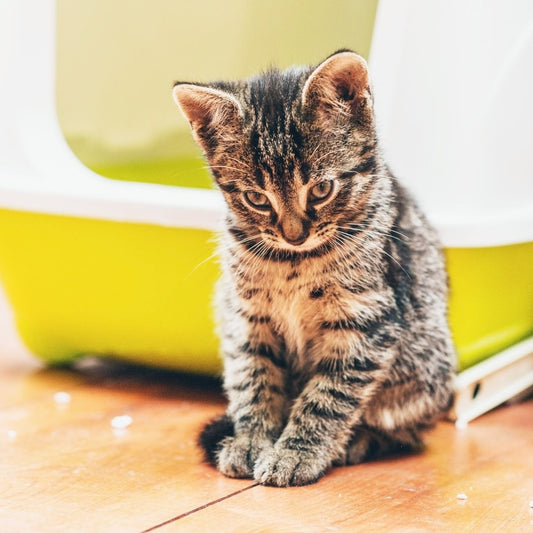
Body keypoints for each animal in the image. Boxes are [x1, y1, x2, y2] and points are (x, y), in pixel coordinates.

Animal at [171, 51, 454, 486]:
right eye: (256, 198)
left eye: (321, 189)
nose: (294, 234)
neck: (293, 263)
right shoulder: (246, 317)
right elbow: (254, 379)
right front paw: (251, 440)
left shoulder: (367, 320)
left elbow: (328, 396)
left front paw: (297, 452)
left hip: (427, 367)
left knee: (408, 431)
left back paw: (361, 441)